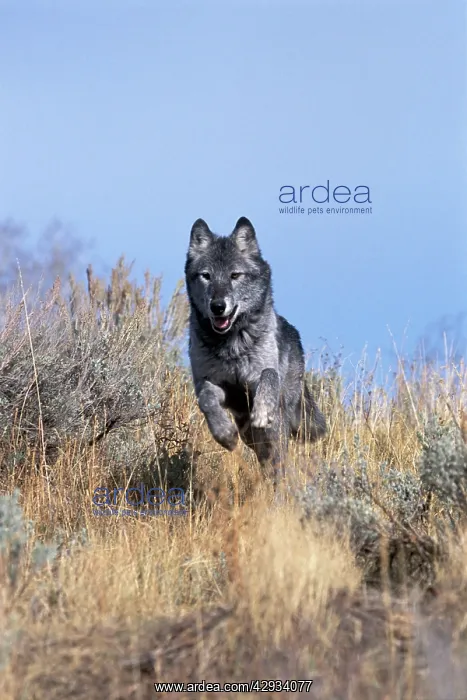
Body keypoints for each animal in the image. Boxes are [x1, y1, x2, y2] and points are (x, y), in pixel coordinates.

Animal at [184, 216, 326, 482]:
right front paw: (224, 434)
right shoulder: (213, 385)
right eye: (206, 276)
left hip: (278, 428)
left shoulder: (261, 376)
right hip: (249, 434)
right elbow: (206, 400)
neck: (231, 345)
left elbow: (268, 375)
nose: (218, 306)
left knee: (279, 458)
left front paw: (261, 412)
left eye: (235, 275)